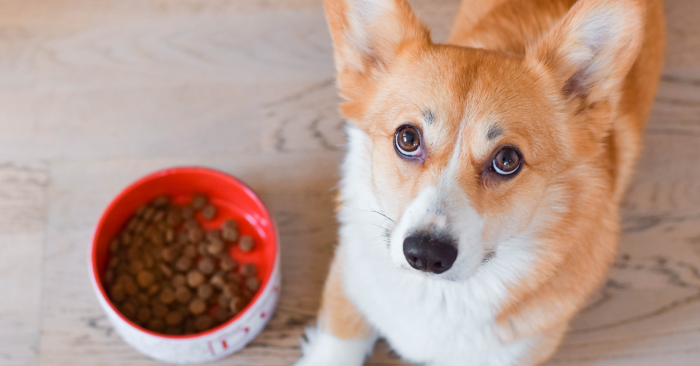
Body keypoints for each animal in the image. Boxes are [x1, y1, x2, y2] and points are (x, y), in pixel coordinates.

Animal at [294, 0, 660, 364]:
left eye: (507, 160)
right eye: (408, 138)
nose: (426, 255)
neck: (437, 296)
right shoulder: (349, 278)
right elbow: (336, 346)